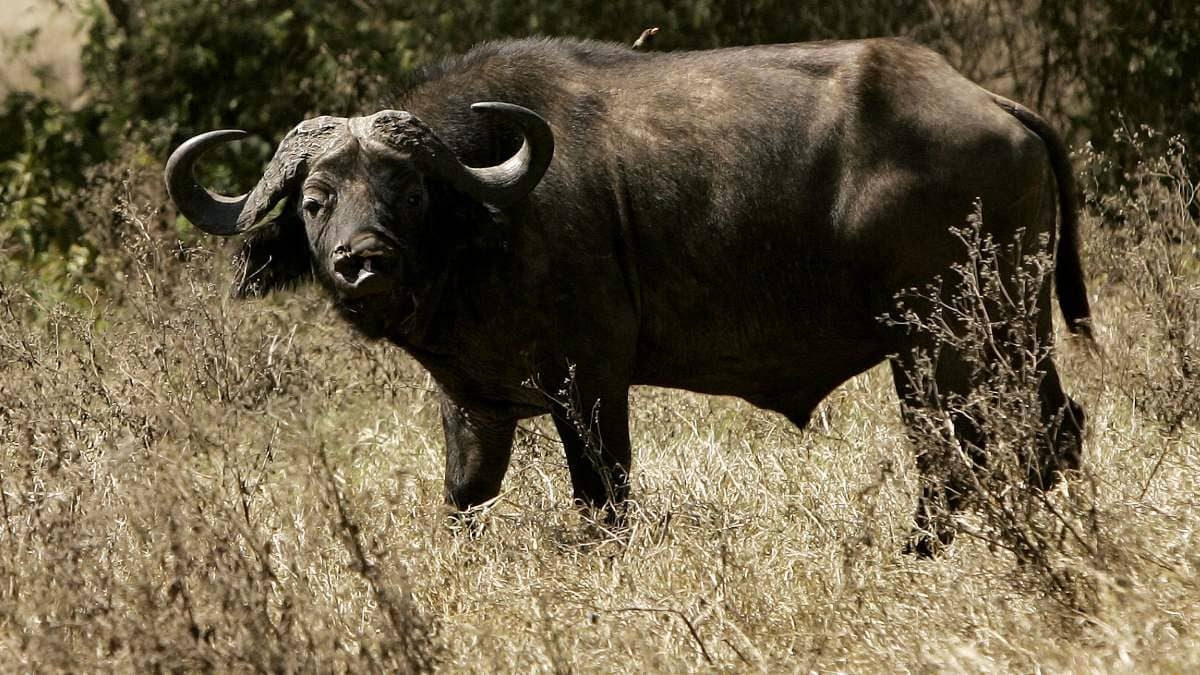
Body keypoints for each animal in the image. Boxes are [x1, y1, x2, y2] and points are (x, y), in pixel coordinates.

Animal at [166, 37, 1091, 555]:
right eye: (316, 201)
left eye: (409, 191)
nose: (362, 263)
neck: (491, 221)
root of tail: (993, 103)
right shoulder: (472, 399)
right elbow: (465, 496)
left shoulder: (592, 383)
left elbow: (602, 496)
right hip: (1011, 333)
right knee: (1050, 434)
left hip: (938, 342)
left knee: (956, 455)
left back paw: (922, 548)